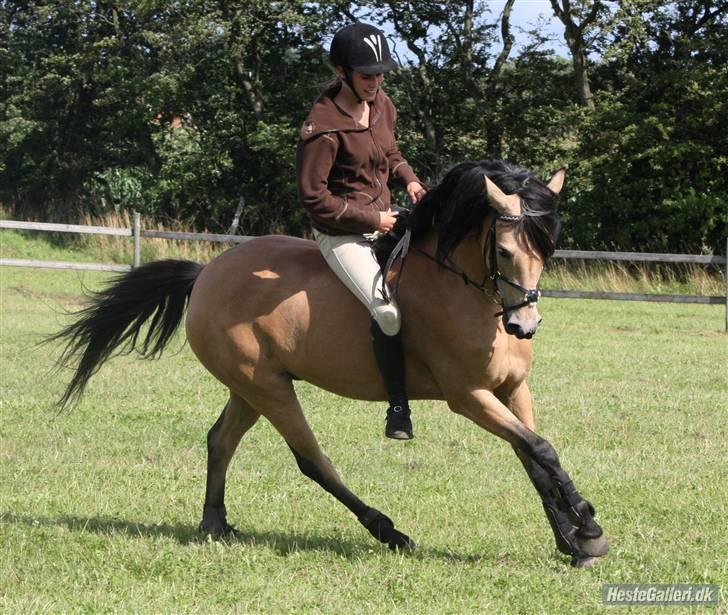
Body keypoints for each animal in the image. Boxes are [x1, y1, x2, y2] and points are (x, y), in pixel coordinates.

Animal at [50, 159, 609, 567]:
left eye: (548, 251)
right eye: (506, 250)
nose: (524, 326)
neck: (466, 291)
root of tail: (206, 273)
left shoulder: (513, 390)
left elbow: (536, 460)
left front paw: (574, 542)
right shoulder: (468, 397)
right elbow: (541, 449)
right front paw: (589, 526)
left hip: (250, 387)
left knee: (221, 440)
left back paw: (215, 523)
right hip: (270, 388)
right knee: (311, 459)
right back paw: (388, 531)